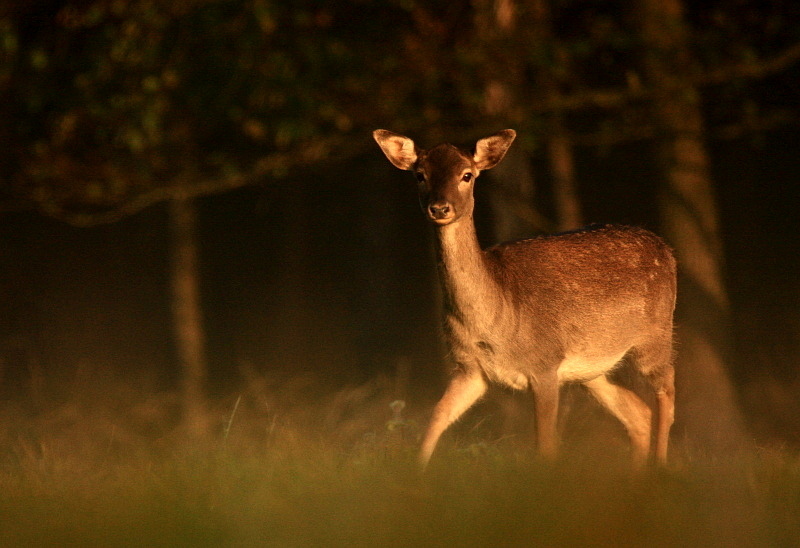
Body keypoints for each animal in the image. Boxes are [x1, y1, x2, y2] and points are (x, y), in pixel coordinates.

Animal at [376, 127, 676, 466]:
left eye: (467, 175)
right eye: (420, 175)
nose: (440, 208)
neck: (497, 320)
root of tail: (666, 249)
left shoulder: (545, 363)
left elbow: (545, 444)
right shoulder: (470, 368)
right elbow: (436, 419)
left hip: (656, 334)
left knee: (666, 393)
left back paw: (661, 465)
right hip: (594, 369)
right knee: (638, 412)